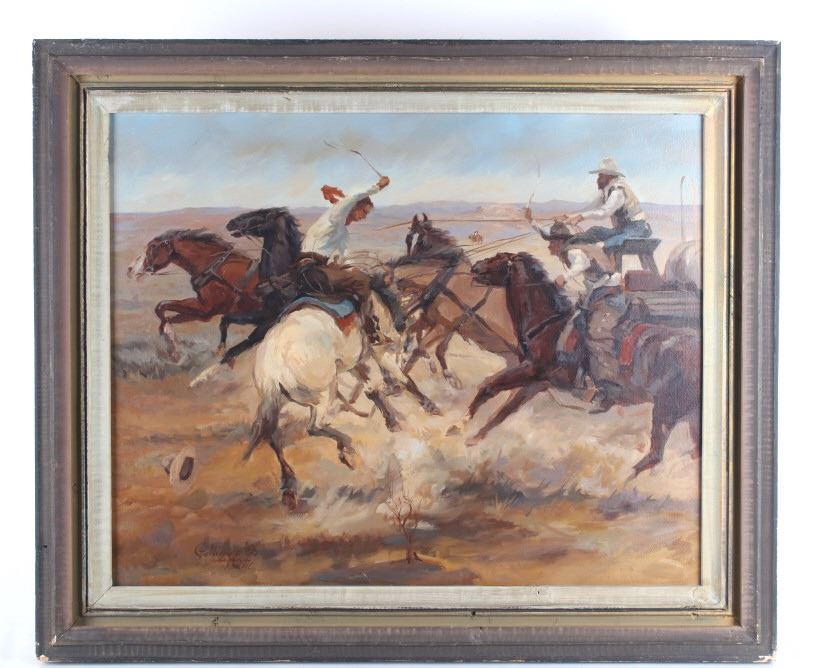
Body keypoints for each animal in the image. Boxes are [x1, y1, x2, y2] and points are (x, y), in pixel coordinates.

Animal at [127, 229, 261, 359]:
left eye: (153, 246)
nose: (130, 269)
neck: (214, 268)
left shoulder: (204, 310)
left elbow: (161, 306)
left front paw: (172, 344)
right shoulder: (202, 313)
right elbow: (167, 314)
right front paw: (171, 345)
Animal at [459, 251, 701, 477]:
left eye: (498, 258)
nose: (475, 266)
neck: (549, 325)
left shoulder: (531, 370)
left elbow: (489, 386)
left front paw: (459, 425)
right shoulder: (537, 382)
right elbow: (506, 408)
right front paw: (474, 436)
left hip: (665, 410)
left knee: (655, 455)